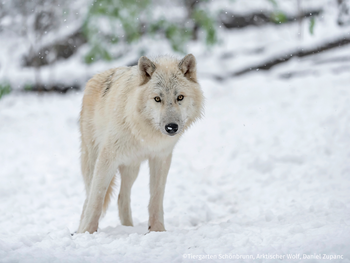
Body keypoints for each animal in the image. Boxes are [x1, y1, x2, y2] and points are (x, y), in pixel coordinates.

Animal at [76, 54, 202, 235]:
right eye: (157, 99)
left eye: (180, 97)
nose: (171, 127)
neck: (145, 134)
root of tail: (95, 76)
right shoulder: (108, 158)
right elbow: (96, 199)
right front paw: (87, 233)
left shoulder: (161, 158)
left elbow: (156, 198)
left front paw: (157, 231)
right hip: (93, 163)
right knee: (89, 198)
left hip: (131, 168)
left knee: (122, 197)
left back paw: (128, 228)